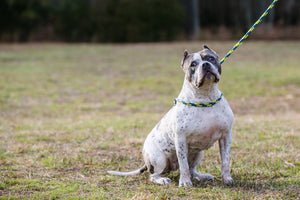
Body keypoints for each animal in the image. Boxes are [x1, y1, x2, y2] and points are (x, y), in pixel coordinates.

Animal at [108, 44, 234, 187]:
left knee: (192, 170)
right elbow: (183, 165)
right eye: (193, 64)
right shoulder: (181, 140)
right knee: (154, 175)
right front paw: (184, 182)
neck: (205, 96)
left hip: (198, 154)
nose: (206, 65)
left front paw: (227, 178)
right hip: (159, 159)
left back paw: (202, 176)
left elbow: (225, 161)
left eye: (211, 58)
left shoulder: (226, 137)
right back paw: (162, 179)